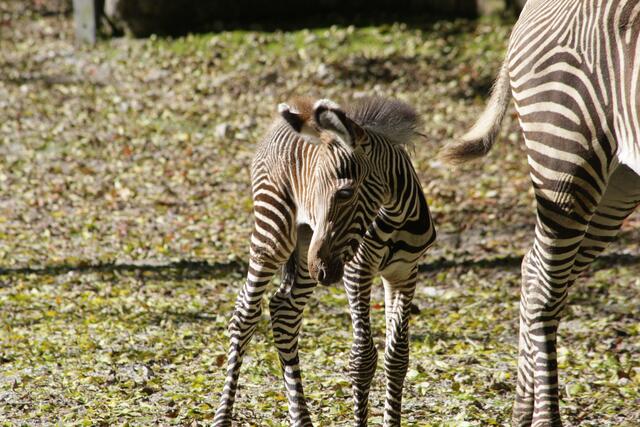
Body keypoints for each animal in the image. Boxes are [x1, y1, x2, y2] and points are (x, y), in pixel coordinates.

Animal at [213, 96, 436, 426]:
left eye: (344, 192)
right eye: (317, 190)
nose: (322, 269)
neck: (395, 216)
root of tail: (295, 107)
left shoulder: (405, 272)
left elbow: (397, 357)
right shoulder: (357, 270)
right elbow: (362, 358)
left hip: (307, 247)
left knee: (285, 311)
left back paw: (301, 419)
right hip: (275, 230)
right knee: (245, 314)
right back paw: (222, 417)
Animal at [441, 1, 640, 425]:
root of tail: (531, 6)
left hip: (620, 181)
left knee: (535, 270)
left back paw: (523, 409)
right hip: (565, 152)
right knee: (544, 288)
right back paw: (545, 416)